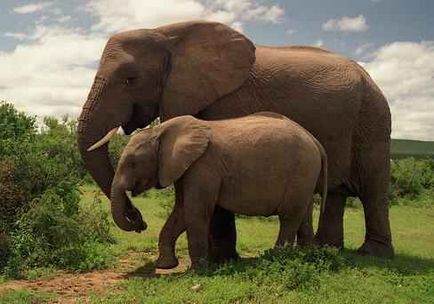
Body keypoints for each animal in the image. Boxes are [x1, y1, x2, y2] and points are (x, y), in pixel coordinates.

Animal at [110, 111, 328, 268]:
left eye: (131, 163)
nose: (140, 222)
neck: (161, 130)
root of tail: (315, 141)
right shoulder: (186, 168)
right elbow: (181, 211)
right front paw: (165, 266)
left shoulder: (203, 166)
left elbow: (196, 212)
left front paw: (198, 270)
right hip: (306, 175)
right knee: (304, 215)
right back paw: (305, 256)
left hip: (301, 170)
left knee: (289, 216)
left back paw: (277, 257)